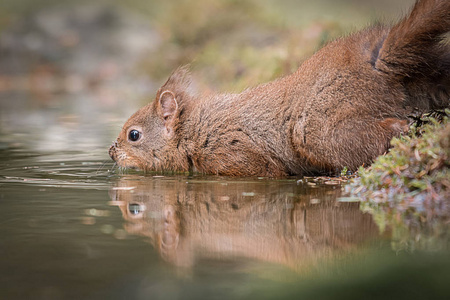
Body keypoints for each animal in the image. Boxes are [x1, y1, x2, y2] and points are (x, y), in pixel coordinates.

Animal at [110, 0, 450, 177]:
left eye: (134, 135)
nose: (112, 153)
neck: (193, 130)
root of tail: (377, 61)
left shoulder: (234, 154)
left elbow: (268, 171)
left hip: (320, 128)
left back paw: (407, 126)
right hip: (430, 74)